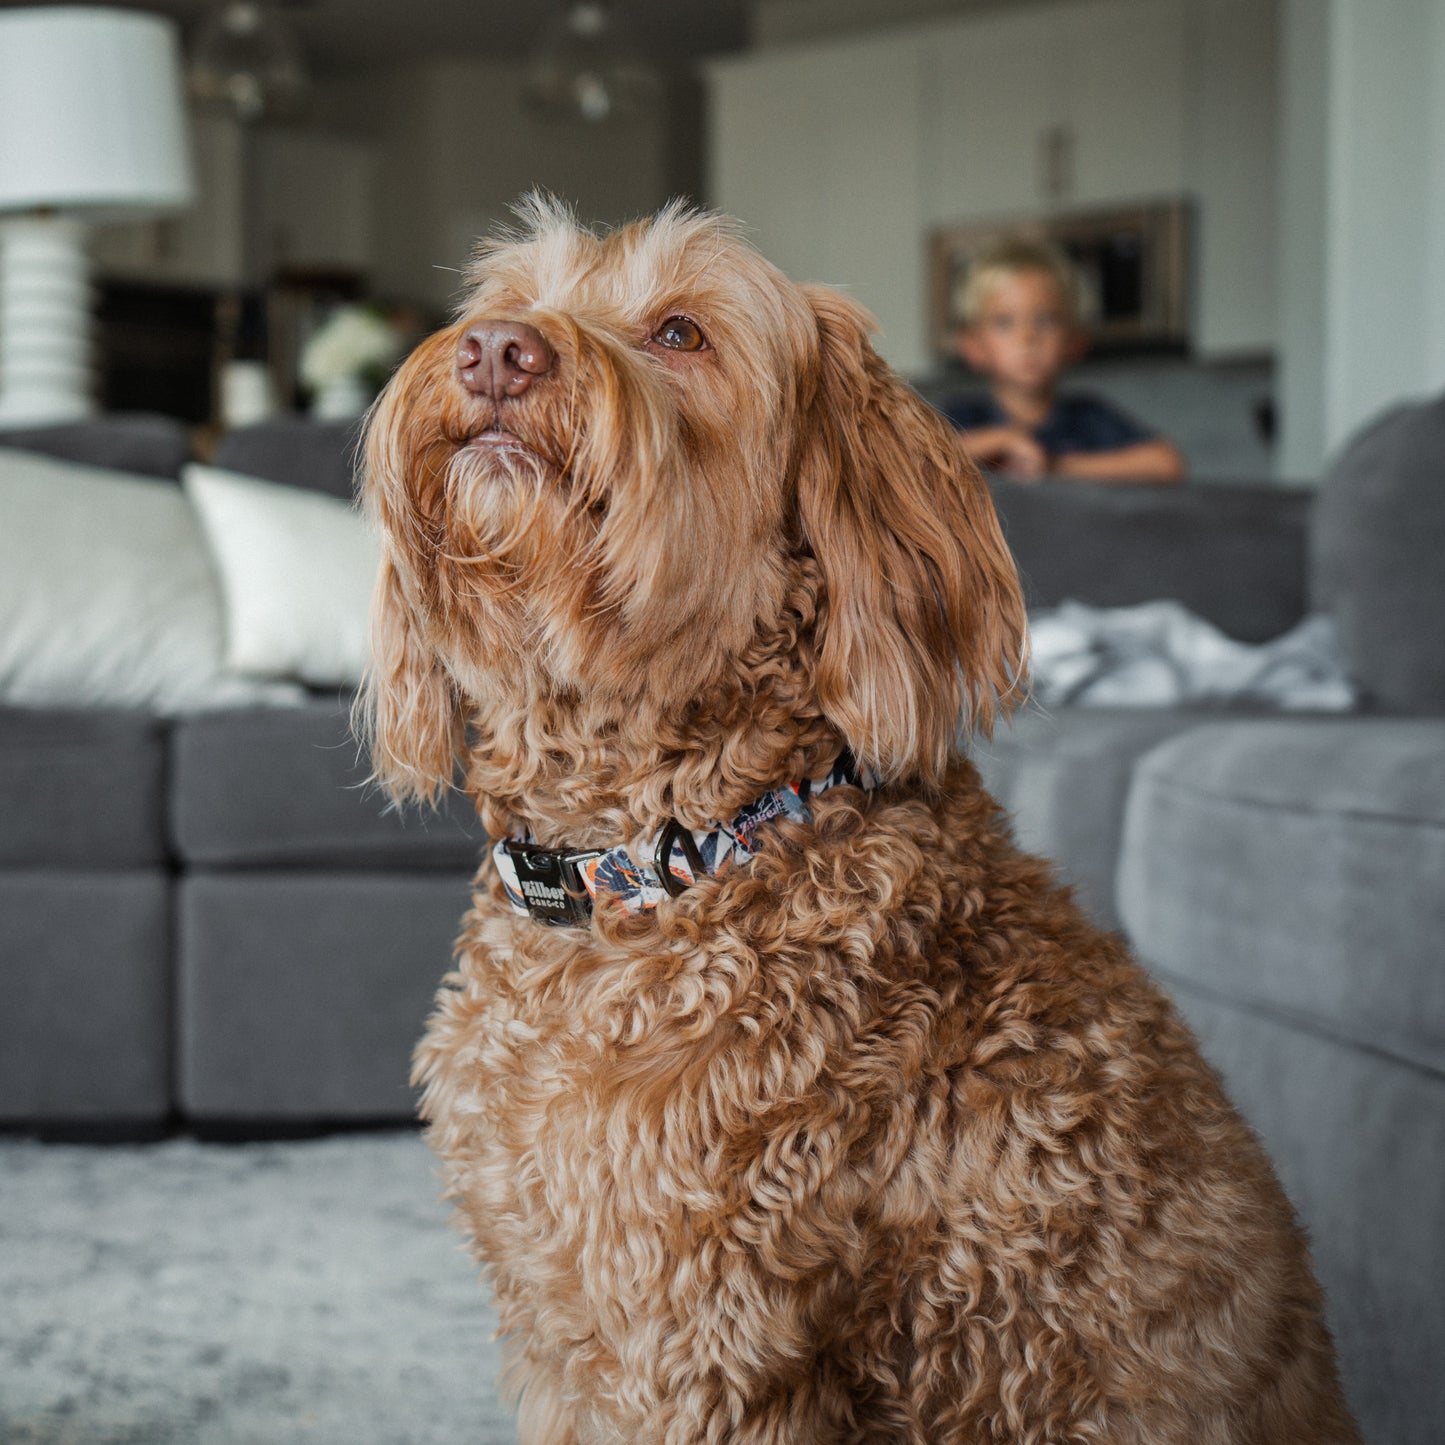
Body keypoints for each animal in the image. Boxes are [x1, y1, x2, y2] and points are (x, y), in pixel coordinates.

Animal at [358, 197, 1352, 1439]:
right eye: (506, 302)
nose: (497, 350)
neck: (670, 856)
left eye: (680, 332)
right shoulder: (562, 1332)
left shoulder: (696, 1341)